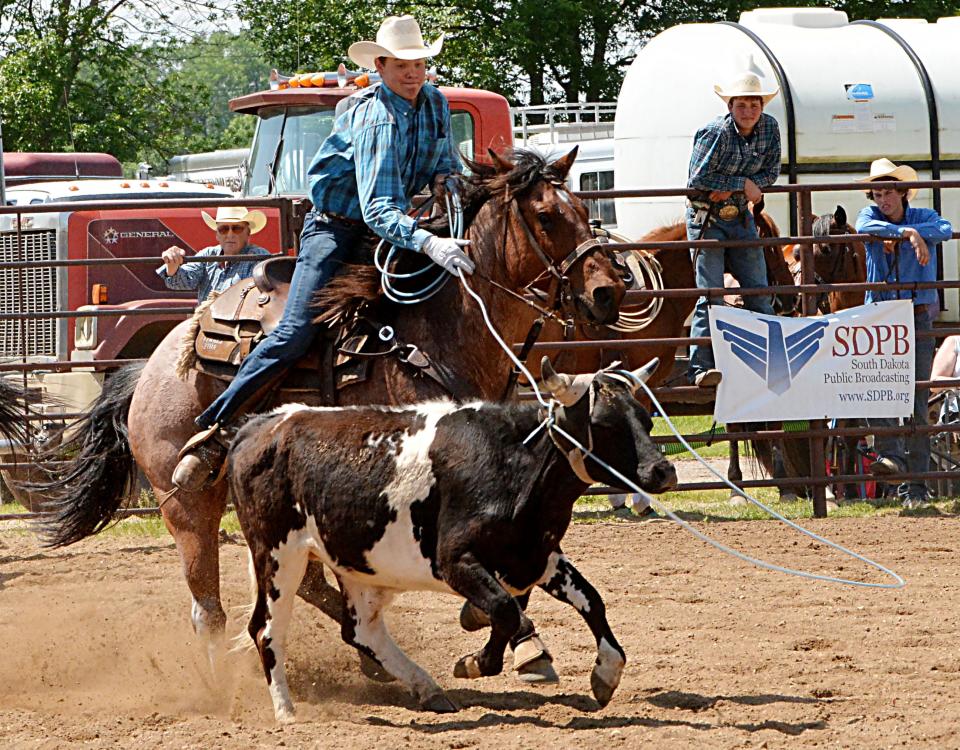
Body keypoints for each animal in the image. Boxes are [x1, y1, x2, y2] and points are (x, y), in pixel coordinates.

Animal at [229, 358, 676, 724]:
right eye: (605, 424)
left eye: (646, 419)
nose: (663, 471)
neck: (512, 463)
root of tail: (260, 426)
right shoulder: (455, 560)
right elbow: (505, 610)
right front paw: (474, 661)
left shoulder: (535, 555)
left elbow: (590, 600)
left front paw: (606, 672)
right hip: (278, 554)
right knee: (266, 630)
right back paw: (287, 711)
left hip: (355, 562)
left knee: (361, 632)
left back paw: (427, 689)